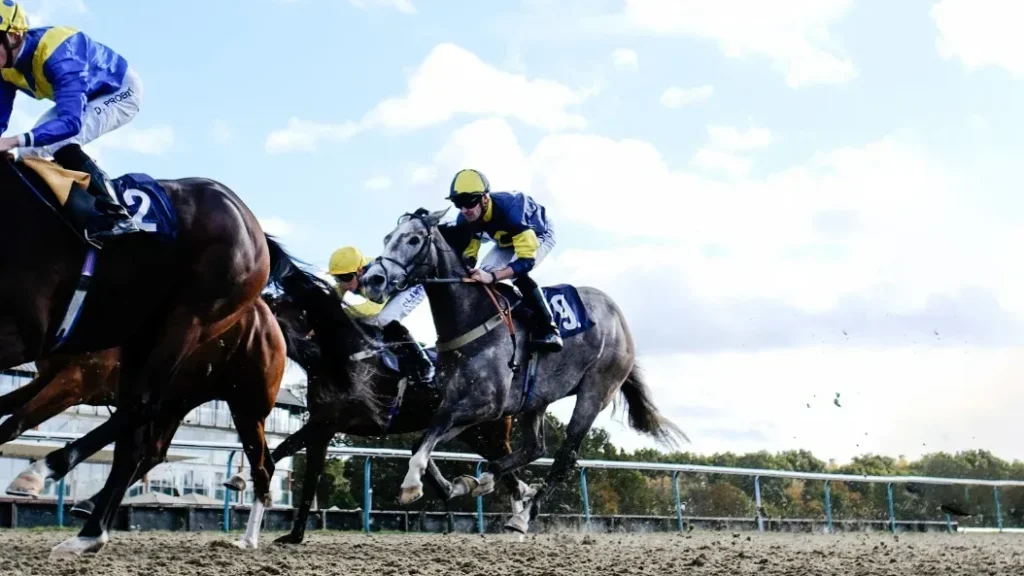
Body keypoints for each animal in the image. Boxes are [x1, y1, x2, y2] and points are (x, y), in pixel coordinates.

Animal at [360, 208, 688, 532]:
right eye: (388, 237)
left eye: (414, 239)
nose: (373, 279)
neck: (471, 319)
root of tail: (620, 321)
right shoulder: (460, 403)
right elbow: (422, 442)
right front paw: (460, 485)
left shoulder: (487, 405)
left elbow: (428, 442)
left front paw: (412, 485)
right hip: (535, 400)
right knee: (536, 447)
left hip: (595, 392)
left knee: (564, 458)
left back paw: (522, 516)